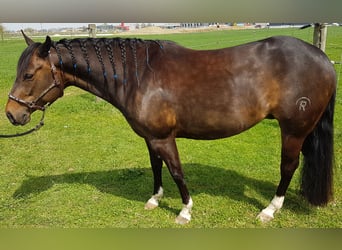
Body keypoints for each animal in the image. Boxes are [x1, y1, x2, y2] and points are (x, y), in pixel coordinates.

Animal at [5, 32, 336, 224]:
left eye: (29, 74)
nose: (11, 114)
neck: (138, 75)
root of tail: (322, 58)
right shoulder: (151, 137)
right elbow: (156, 166)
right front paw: (155, 199)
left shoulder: (164, 138)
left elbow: (176, 170)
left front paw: (185, 211)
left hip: (293, 129)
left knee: (288, 166)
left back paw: (270, 209)